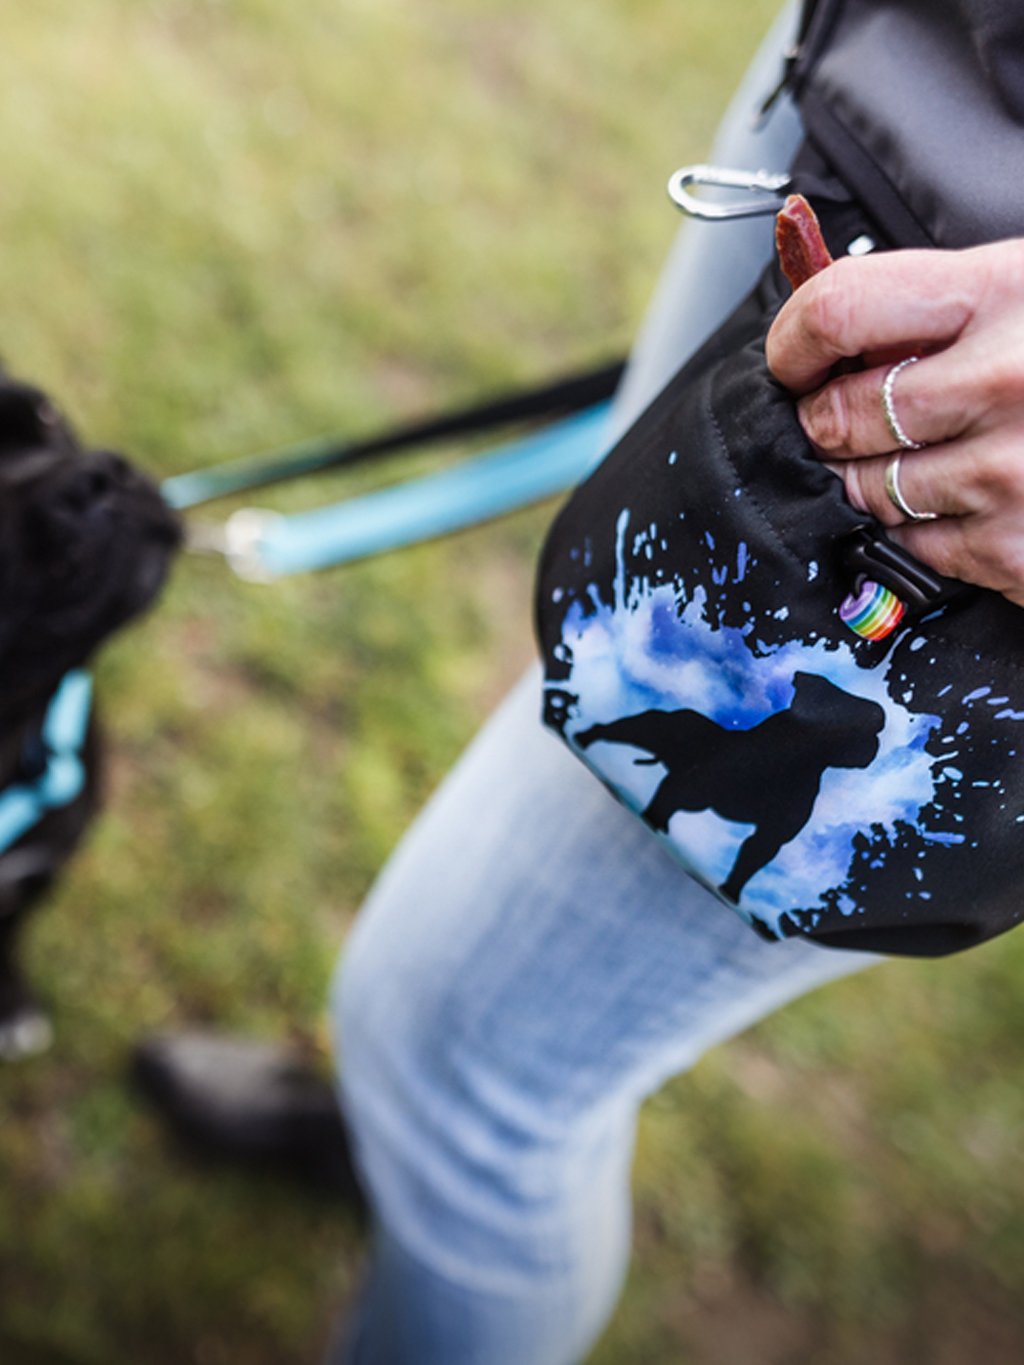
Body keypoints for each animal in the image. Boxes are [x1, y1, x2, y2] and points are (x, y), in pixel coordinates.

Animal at [578, 671, 890, 906]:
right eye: (849, 713)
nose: (878, 723)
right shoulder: (682, 786)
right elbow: (661, 805)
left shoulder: (769, 838)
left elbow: (746, 865)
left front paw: (730, 892)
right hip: (652, 730)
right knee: (617, 731)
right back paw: (586, 736)